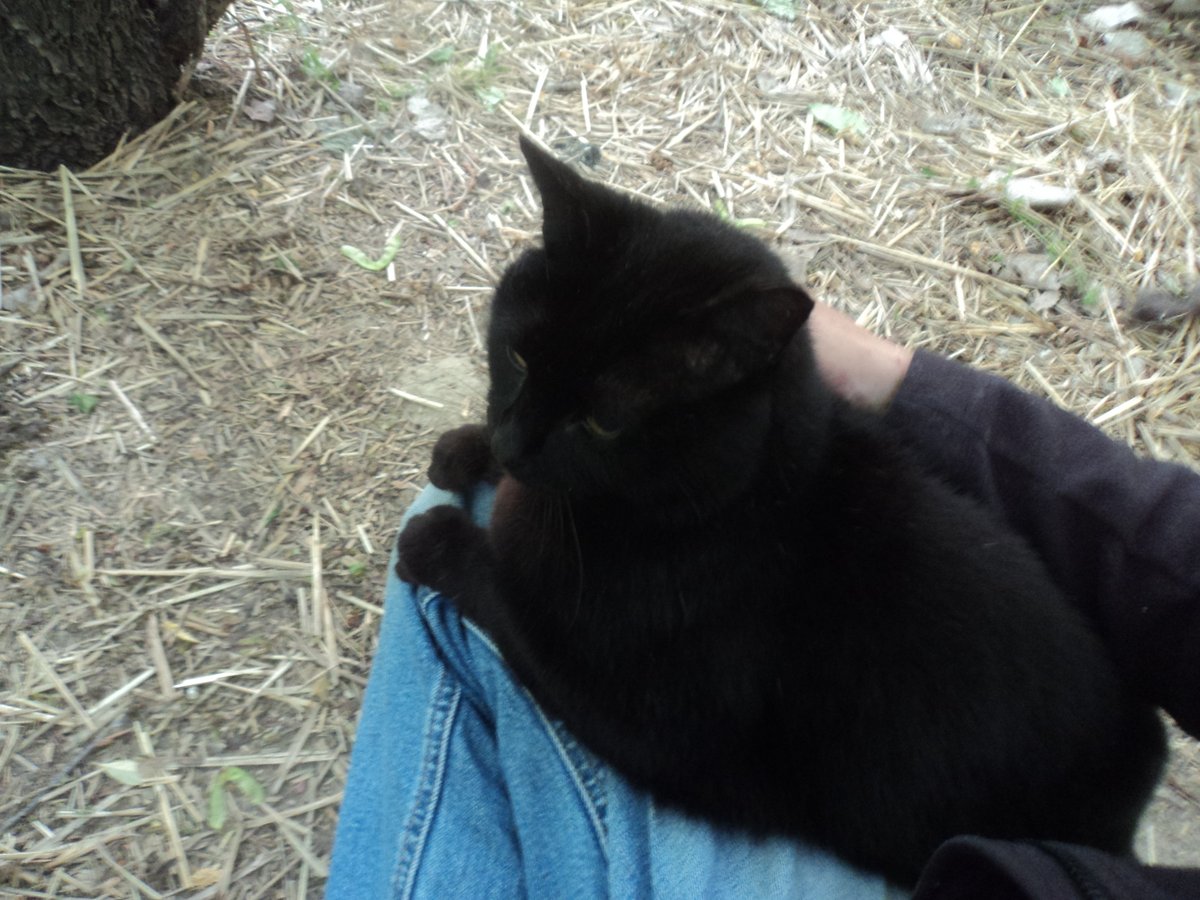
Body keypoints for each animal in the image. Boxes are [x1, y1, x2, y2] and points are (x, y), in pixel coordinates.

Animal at [398, 139, 1166, 888]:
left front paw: (442, 540)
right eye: (519, 356)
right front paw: (466, 451)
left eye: (603, 423)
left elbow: (520, 619)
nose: (512, 442)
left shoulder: (655, 725)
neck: (739, 503)